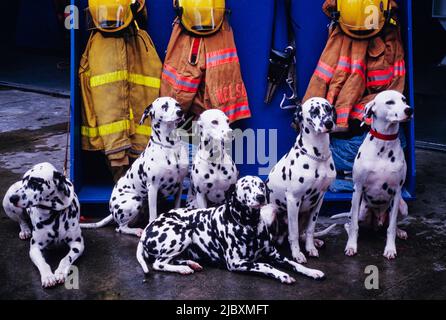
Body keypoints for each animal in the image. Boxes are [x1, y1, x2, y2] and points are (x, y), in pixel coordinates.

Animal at [81, 97, 189, 238]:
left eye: (177, 104)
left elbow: (176, 207)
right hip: (134, 200)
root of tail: (112, 211)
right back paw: (136, 231)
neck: (170, 146)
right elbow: (153, 215)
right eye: (164, 106)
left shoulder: (179, 186)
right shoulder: (153, 188)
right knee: (120, 228)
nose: (180, 112)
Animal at [136, 176, 324, 284]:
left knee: (171, 260)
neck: (250, 226)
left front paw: (311, 271)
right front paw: (282, 275)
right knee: (158, 263)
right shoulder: (237, 262)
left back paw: (190, 264)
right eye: (246, 187)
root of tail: (147, 229)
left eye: (261, 186)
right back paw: (182, 269)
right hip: (183, 232)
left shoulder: (274, 254)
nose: (260, 197)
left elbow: (294, 263)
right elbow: (265, 265)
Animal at [266, 97, 336, 262]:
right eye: (314, 111)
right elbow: (294, 233)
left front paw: (310, 248)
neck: (318, 156)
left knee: (303, 233)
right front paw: (297, 254)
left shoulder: (319, 199)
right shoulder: (293, 200)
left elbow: (310, 229)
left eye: (328, 109)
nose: (329, 123)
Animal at [342, 90, 414, 260]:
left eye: (404, 100)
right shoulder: (358, 189)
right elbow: (354, 225)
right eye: (390, 102)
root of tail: (377, 221)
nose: (409, 110)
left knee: (391, 224)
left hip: (403, 206)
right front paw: (351, 246)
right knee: (349, 223)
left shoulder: (397, 192)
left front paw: (390, 248)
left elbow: (391, 227)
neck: (384, 144)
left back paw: (400, 231)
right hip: (361, 210)